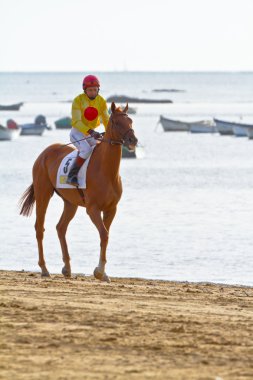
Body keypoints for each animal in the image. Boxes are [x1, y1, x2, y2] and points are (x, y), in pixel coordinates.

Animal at [19, 103, 138, 282]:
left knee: (61, 228)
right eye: (117, 122)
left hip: (70, 203)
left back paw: (67, 268)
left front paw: (102, 272)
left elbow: (105, 236)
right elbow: (104, 234)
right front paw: (99, 271)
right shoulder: (93, 209)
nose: (133, 140)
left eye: (130, 120)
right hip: (43, 194)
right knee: (39, 228)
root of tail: (44, 153)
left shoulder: (111, 209)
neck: (106, 171)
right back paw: (44, 269)